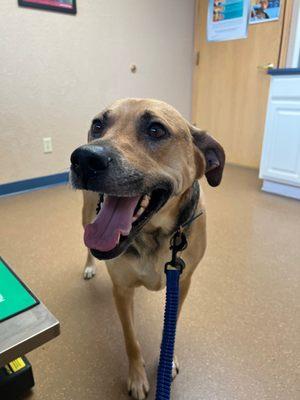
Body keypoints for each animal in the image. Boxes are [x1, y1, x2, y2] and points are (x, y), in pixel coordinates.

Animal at [70, 97, 225, 400]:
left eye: (155, 130)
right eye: (98, 125)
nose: (84, 158)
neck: (153, 234)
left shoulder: (182, 283)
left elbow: (171, 325)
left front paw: (167, 359)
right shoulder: (121, 290)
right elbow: (131, 339)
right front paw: (137, 377)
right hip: (87, 213)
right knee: (88, 245)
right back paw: (89, 267)